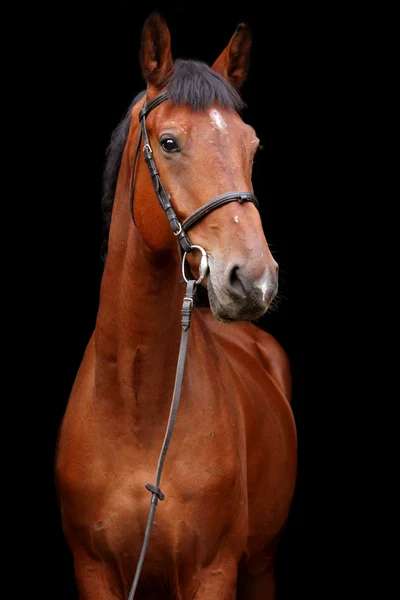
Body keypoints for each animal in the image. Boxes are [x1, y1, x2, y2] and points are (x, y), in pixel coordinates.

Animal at [56, 11, 298, 596]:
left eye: (252, 146)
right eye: (169, 142)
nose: (255, 280)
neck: (138, 412)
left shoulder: (214, 570)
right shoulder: (92, 570)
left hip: (261, 563)